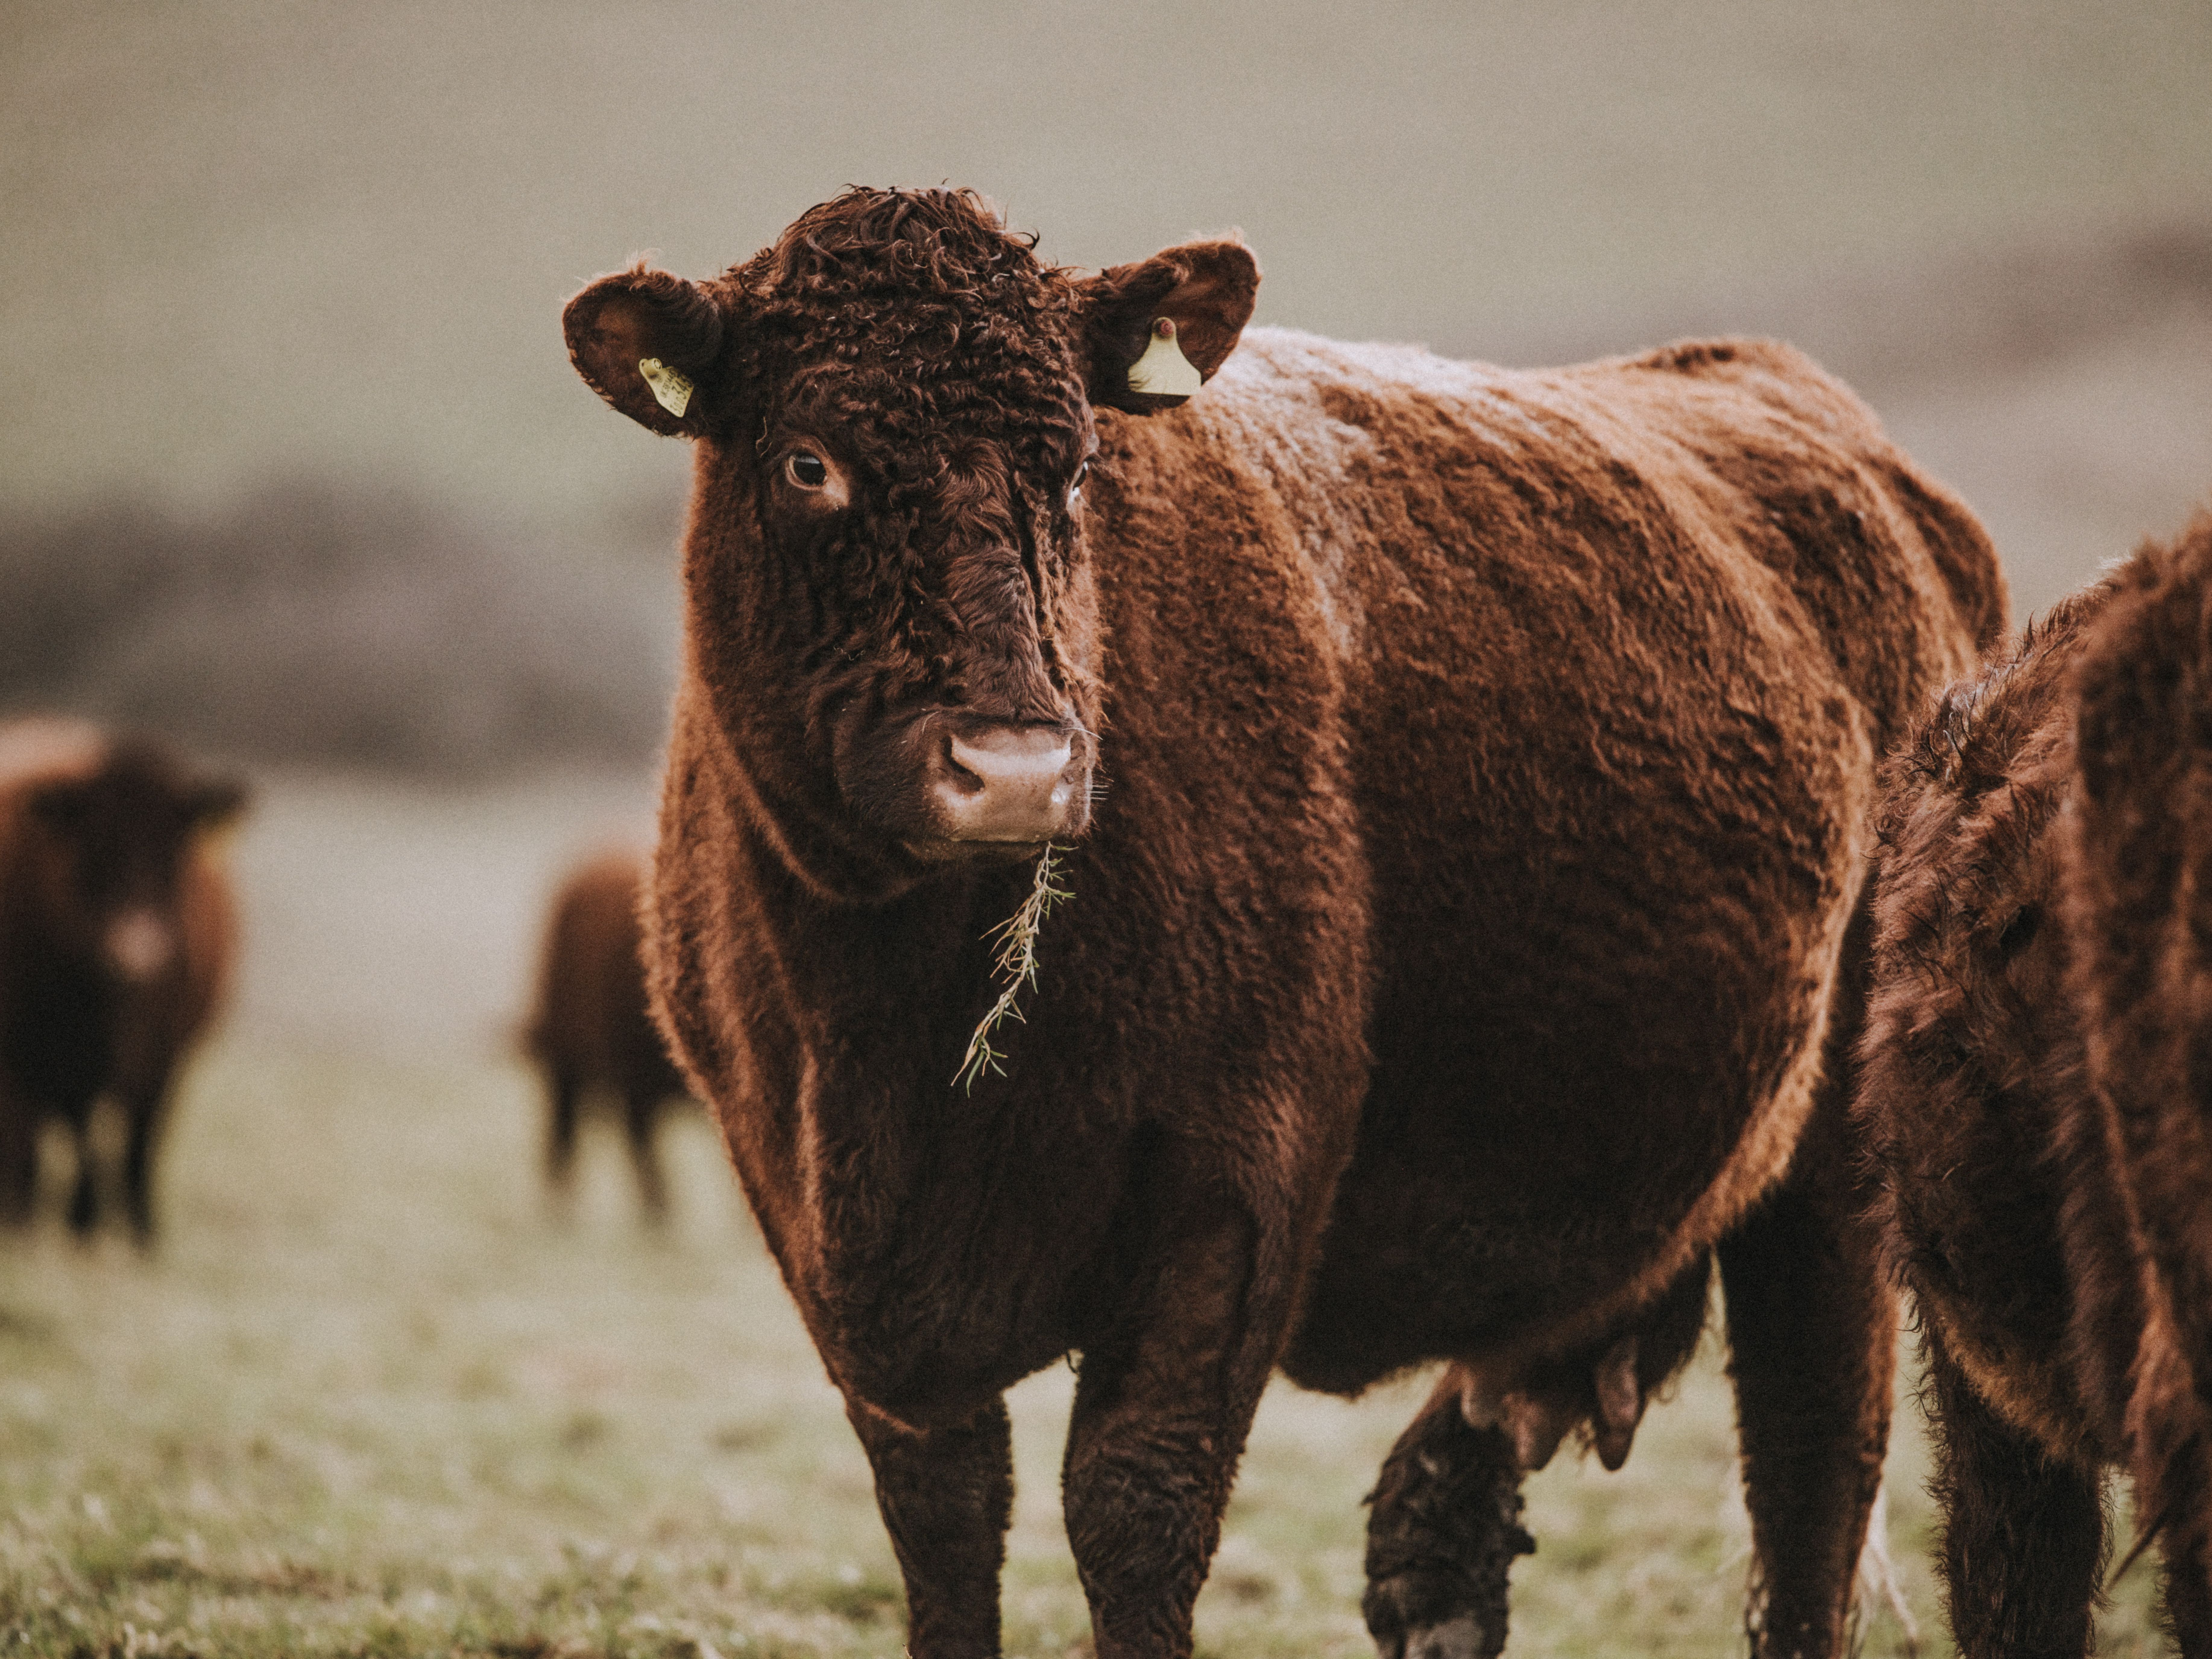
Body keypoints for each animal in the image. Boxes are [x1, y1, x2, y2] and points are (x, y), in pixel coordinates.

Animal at [0, 717, 245, 1244]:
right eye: (94, 850)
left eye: (174, 852)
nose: (138, 952)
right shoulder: (16, 1057)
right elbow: (24, 1146)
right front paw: (20, 1227)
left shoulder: (164, 1060)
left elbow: (139, 1149)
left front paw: (141, 1237)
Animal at [561, 186, 2005, 1659]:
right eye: (808, 462)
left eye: (1075, 467)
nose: (1015, 766)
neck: (892, 1027)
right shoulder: (824, 1242)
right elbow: (946, 1526)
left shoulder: (1236, 1175)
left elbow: (1133, 1504)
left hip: (1836, 1185)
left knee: (1812, 1470)